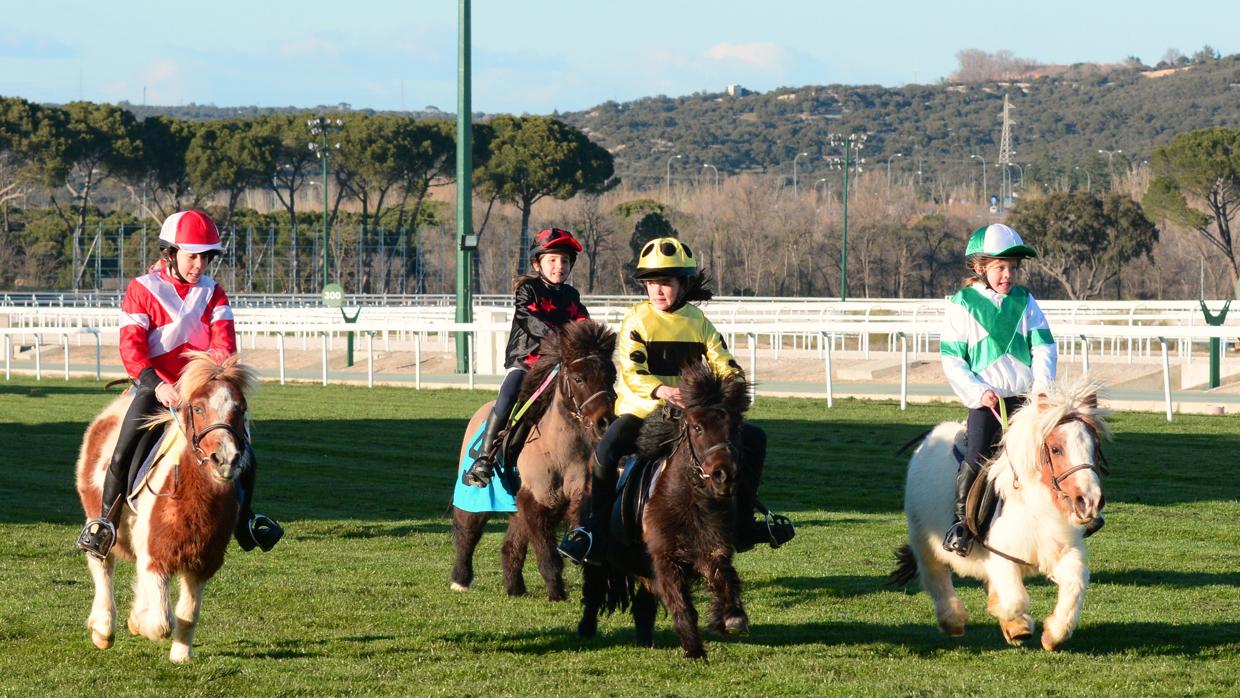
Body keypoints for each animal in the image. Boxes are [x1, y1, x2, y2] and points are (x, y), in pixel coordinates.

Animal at [75, 352, 259, 664]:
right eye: (198, 408)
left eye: (240, 409)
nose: (225, 459)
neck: (191, 496)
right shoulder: (157, 556)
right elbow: (163, 622)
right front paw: (142, 622)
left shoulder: (202, 562)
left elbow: (187, 614)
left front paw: (180, 655)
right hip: (98, 518)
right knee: (103, 566)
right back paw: (103, 628)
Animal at [451, 319, 615, 600]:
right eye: (578, 378)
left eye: (612, 376)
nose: (605, 421)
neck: (559, 450)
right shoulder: (535, 502)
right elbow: (548, 556)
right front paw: (557, 594)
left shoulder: (572, 498)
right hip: (474, 496)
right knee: (467, 532)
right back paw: (460, 580)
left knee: (511, 547)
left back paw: (515, 588)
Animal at [892, 379, 1116, 654]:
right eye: (1056, 449)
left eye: (1096, 447)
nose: (1090, 501)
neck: (1033, 507)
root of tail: (932, 435)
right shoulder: (999, 555)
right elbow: (1015, 600)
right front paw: (1016, 625)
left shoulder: (1062, 551)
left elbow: (1075, 585)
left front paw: (1053, 634)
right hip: (924, 538)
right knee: (935, 576)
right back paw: (952, 620)